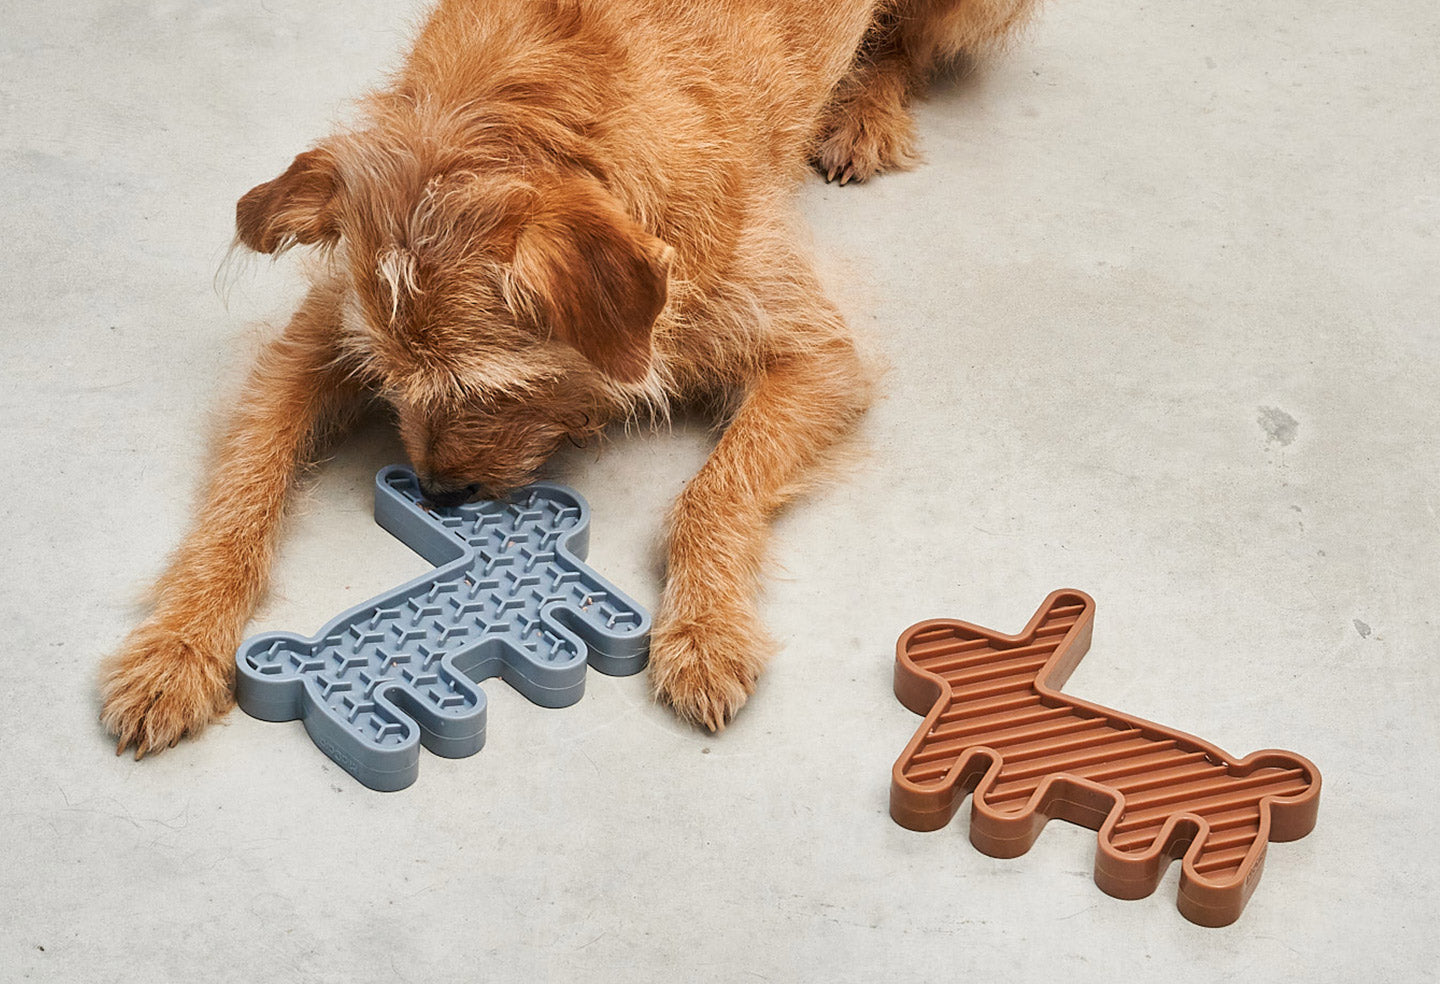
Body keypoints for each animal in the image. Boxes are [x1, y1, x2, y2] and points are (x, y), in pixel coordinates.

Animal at [106, 0, 1042, 760]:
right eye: (389, 381)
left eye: (491, 390)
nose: (437, 493)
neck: (529, 111)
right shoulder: (311, 344)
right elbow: (242, 492)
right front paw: (176, 646)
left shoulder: (817, 353)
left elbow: (713, 493)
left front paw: (704, 631)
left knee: (907, 46)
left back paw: (862, 110)